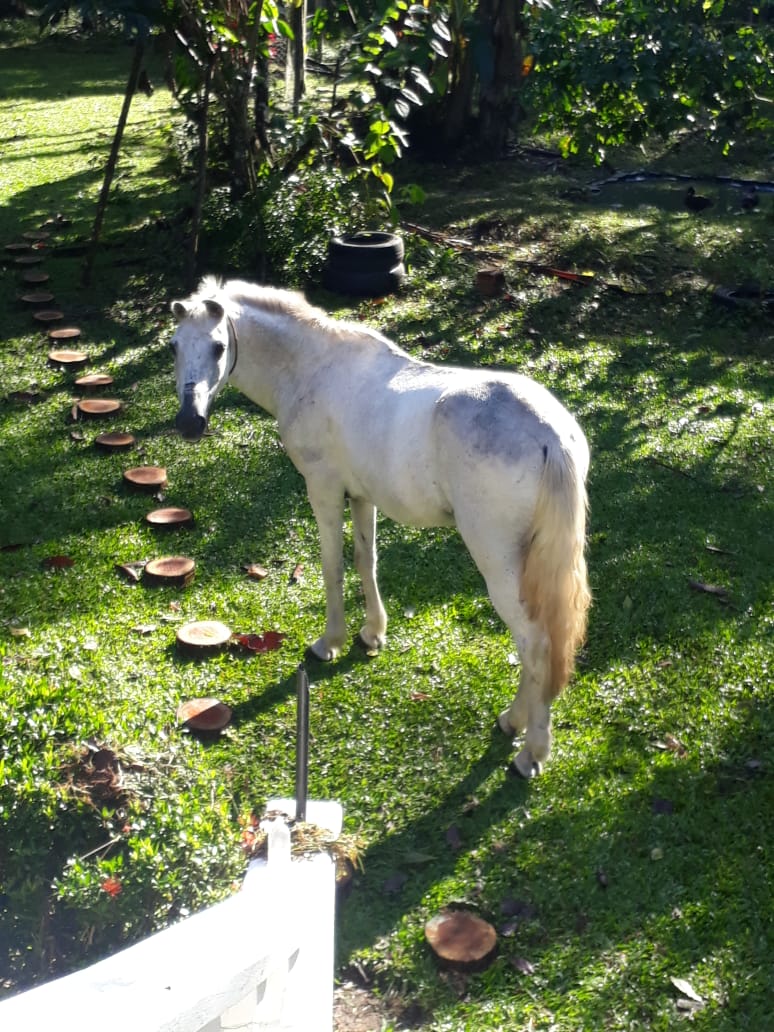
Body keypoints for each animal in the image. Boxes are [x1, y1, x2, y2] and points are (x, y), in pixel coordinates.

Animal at [171, 278, 594, 776]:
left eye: (219, 347)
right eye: (174, 345)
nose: (189, 422)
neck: (312, 367)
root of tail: (551, 436)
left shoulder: (324, 489)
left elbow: (333, 567)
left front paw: (330, 643)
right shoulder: (362, 496)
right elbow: (364, 561)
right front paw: (372, 634)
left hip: (499, 564)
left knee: (535, 645)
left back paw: (530, 751)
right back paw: (514, 722)